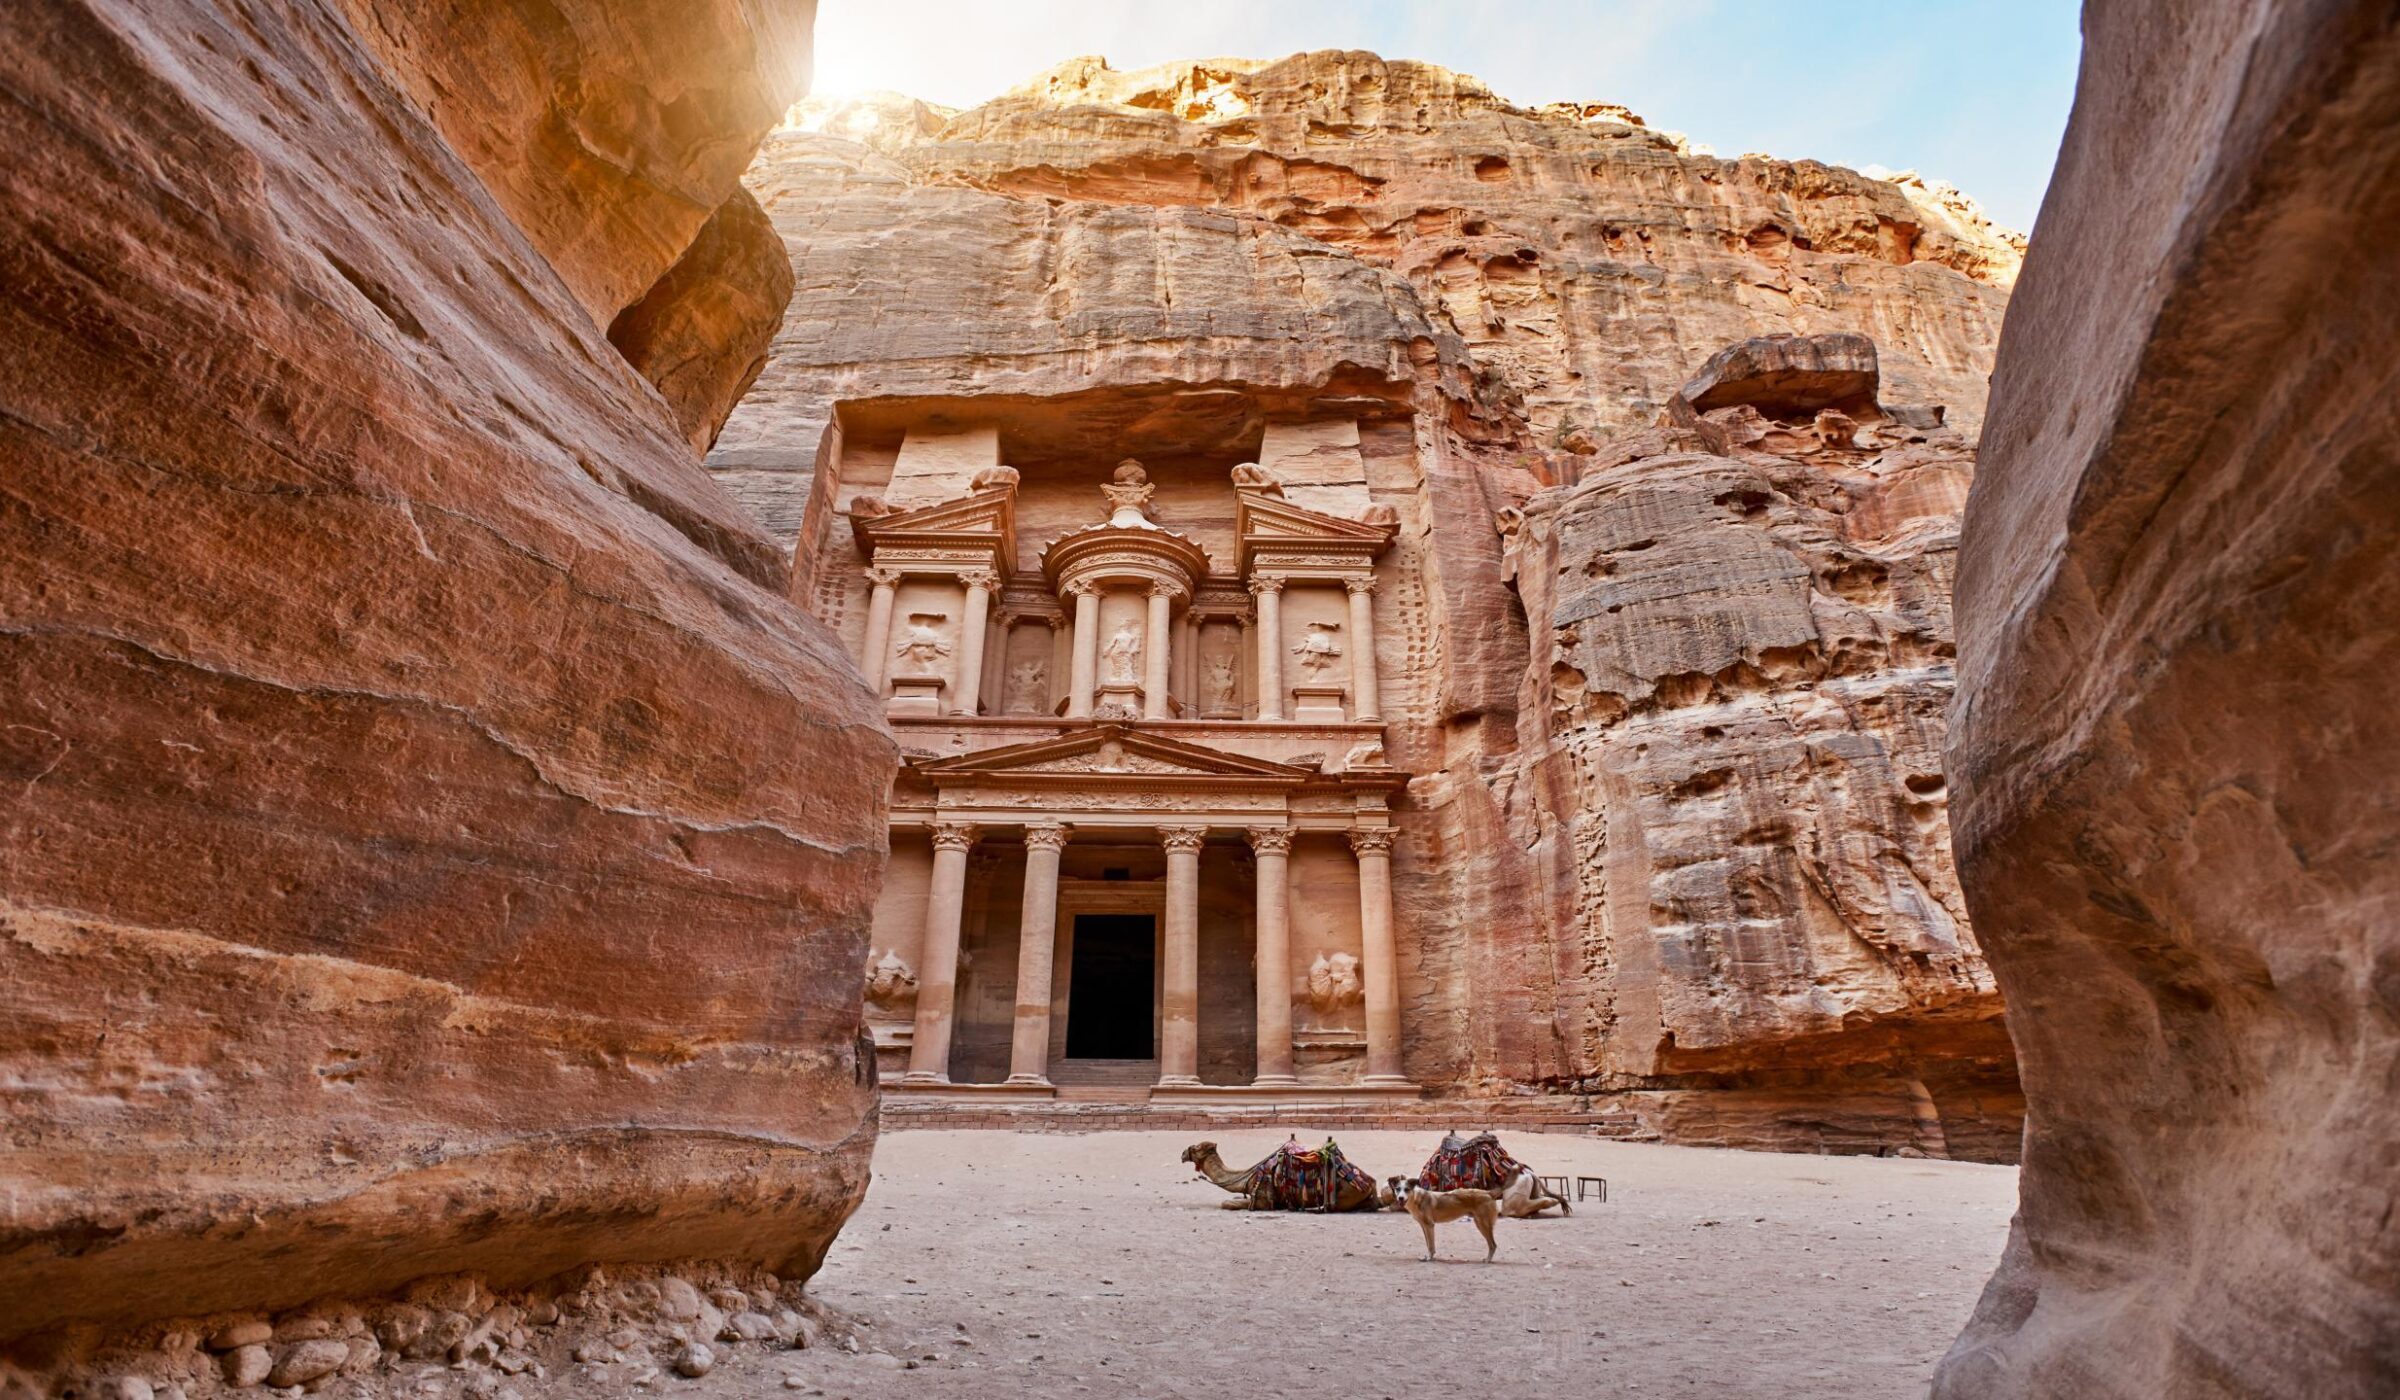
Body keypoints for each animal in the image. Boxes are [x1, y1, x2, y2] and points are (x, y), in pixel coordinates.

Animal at [1180, 1138, 1387, 1212]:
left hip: (1342, 1197)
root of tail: (1370, 1182)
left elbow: (1228, 1203)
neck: (1248, 1176)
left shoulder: (1263, 1201)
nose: (1182, 1154)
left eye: (1196, 1148)